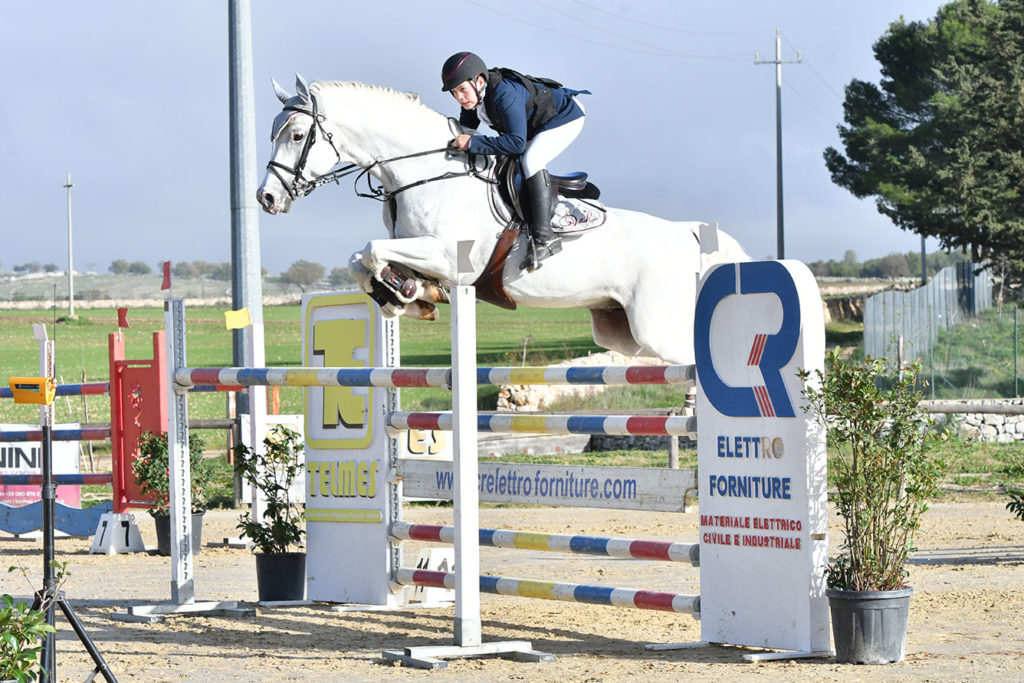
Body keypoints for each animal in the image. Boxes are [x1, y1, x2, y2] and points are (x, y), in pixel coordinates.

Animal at [260, 75, 749, 366]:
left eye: (298, 135)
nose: (267, 198)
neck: (423, 171)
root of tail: (686, 233)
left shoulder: (450, 256)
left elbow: (371, 250)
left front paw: (403, 291)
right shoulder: (421, 251)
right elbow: (359, 259)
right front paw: (406, 295)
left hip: (656, 327)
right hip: (620, 331)